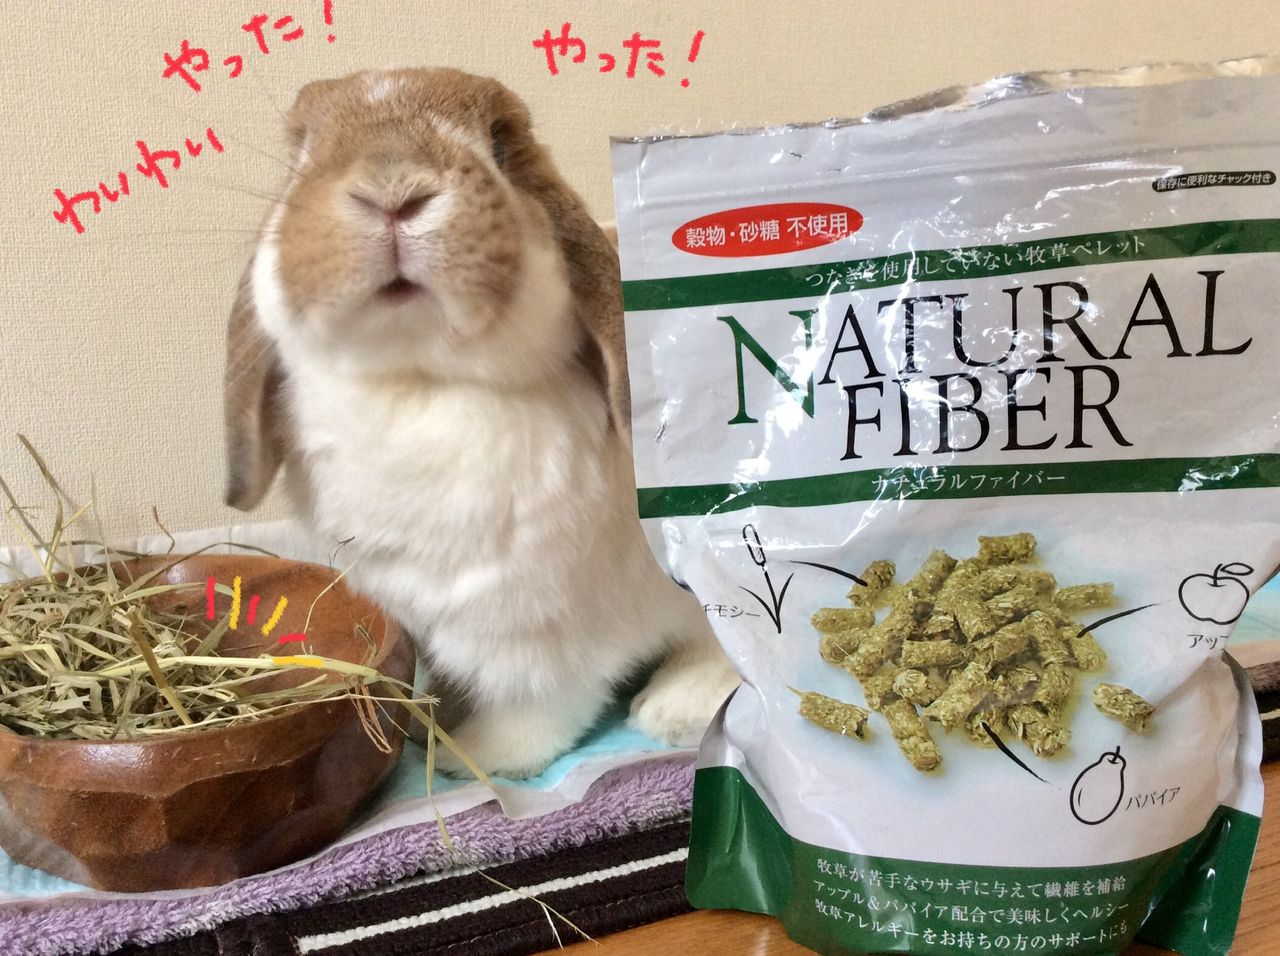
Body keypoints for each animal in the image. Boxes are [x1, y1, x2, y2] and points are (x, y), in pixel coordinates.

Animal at [222, 68, 741, 778]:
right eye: (301, 150)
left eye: (500, 143)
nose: (392, 189)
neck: (422, 383)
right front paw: (437, 718)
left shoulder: (547, 633)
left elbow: (545, 702)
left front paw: (473, 752)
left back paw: (671, 708)